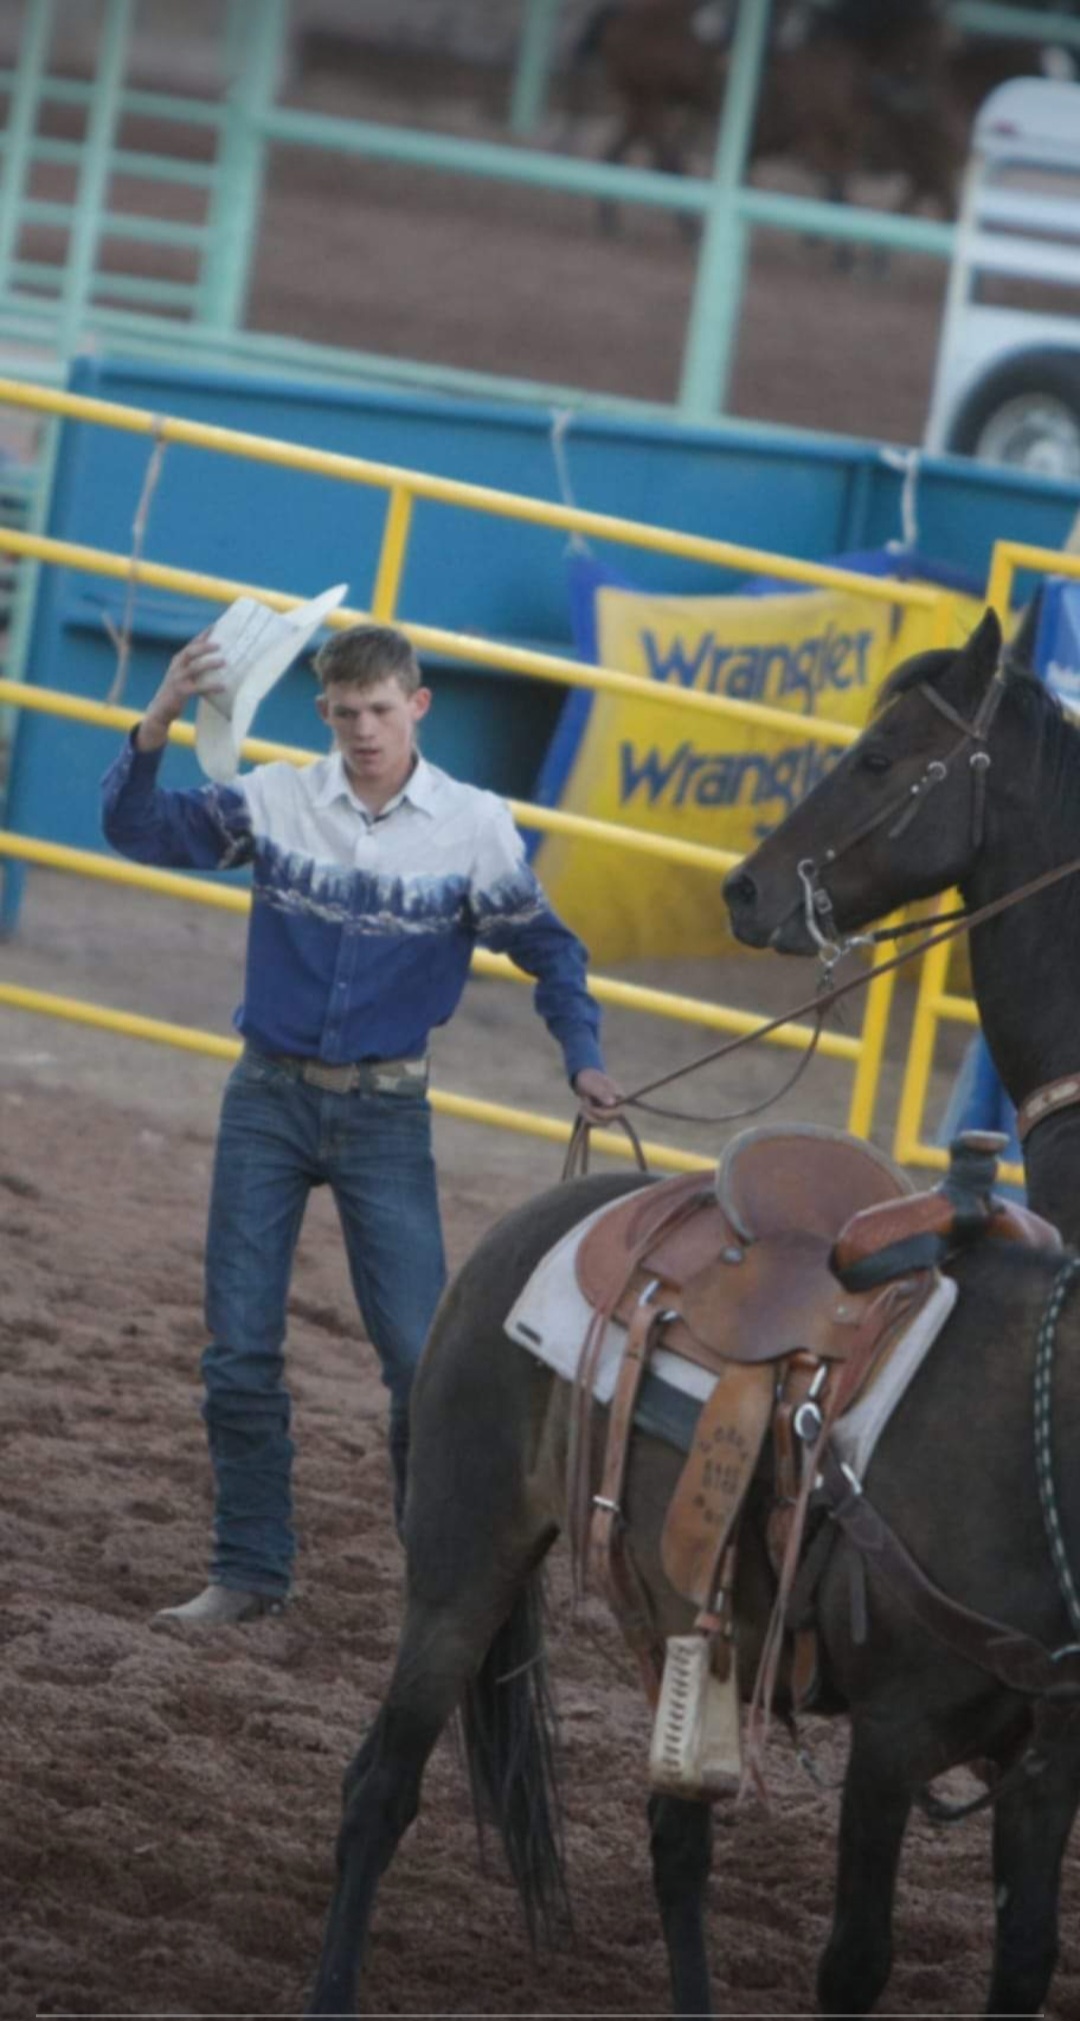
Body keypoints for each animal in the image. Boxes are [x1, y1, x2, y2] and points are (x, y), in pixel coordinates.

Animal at [309, 610, 1080, 2020]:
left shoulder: (1043, 1757)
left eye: (883, 754)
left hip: (668, 1598)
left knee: (670, 1832)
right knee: (381, 1783)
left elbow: (1026, 1954)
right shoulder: (898, 1739)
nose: (747, 892)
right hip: (462, 1556)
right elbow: (858, 1957)